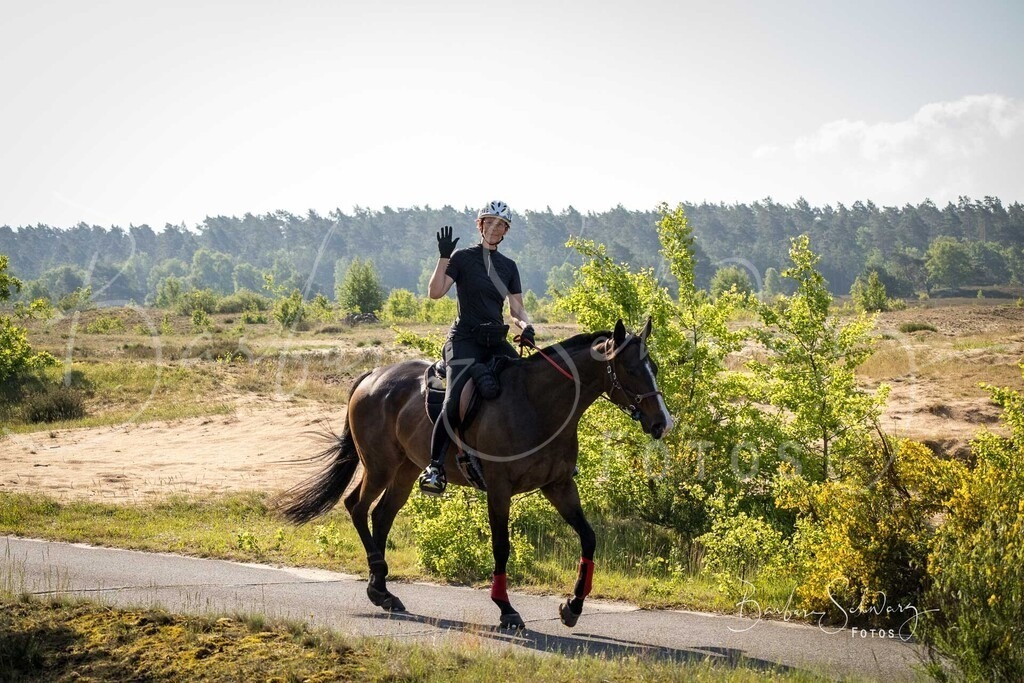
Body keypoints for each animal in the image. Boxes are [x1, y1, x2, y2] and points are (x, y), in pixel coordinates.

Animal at [275, 318, 673, 630]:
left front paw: (572, 607)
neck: (538, 404)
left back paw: (384, 590)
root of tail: (373, 376)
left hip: (406, 469)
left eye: (654, 366)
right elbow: (501, 546)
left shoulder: (558, 485)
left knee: (382, 515)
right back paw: (377, 586)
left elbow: (588, 538)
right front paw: (506, 609)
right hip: (380, 466)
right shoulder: (499, 488)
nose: (662, 423)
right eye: (632, 369)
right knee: (357, 506)